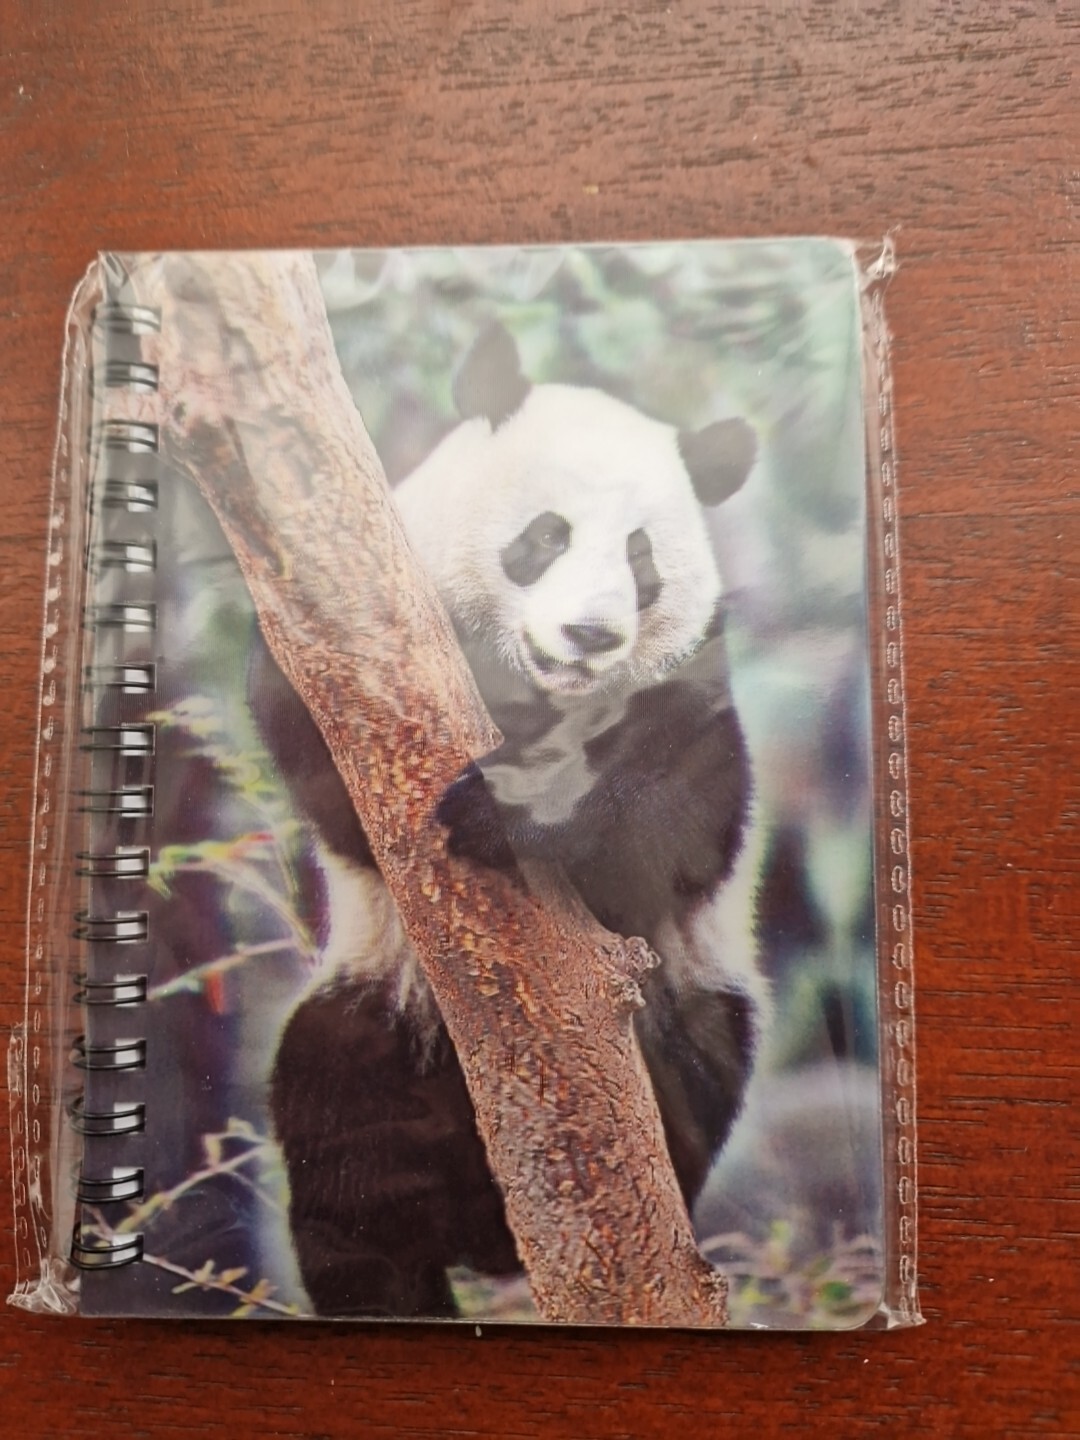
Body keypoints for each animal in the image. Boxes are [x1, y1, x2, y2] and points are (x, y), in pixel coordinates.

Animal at [258, 324, 765, 1319]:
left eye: (642, 560)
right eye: (546, 536)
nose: (590, 637)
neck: (537, 699)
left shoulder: (692, 684)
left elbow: (681, 822)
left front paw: (510, 811)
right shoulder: (353, 641)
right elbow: (329, 771)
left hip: (693, 993)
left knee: (699, 1058)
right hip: (378, 999)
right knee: (343, 1145)